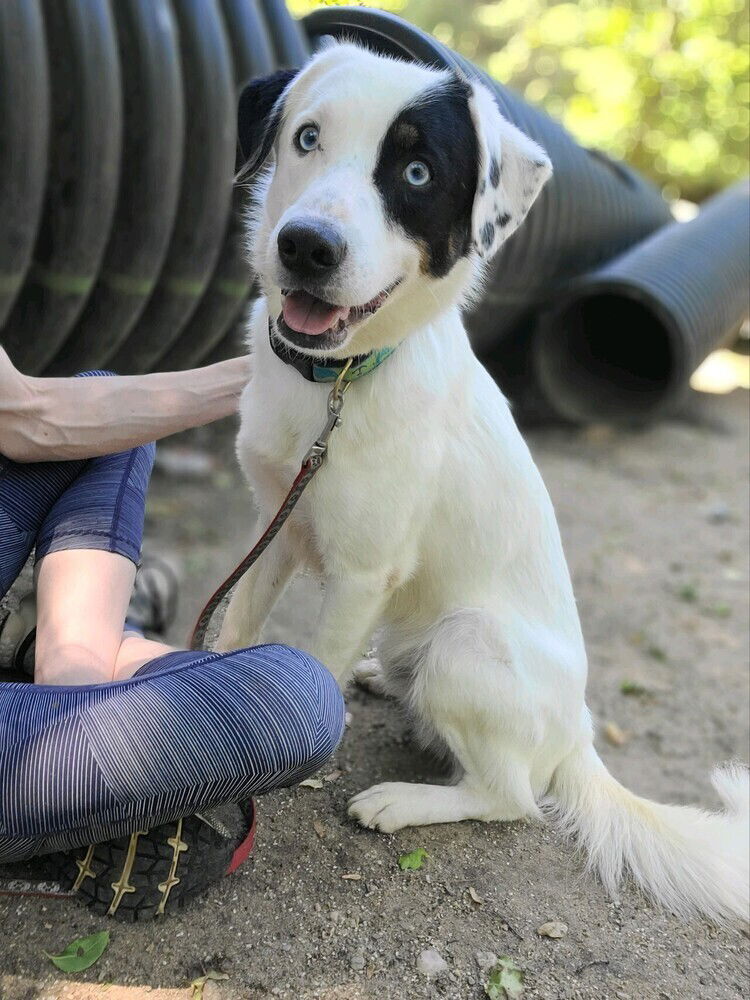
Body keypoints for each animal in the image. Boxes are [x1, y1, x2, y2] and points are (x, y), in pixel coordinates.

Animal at [214, 43, 748, 924]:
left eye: (418, 173)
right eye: (306, 137)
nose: (305, 247)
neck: (336, 382)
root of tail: (580, 735)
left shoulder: (362, 576)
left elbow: (315, 668)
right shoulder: (272, 525)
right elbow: (233, 632)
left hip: (468, 642)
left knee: (512, 797)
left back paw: (402, 800)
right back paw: (384, 681)